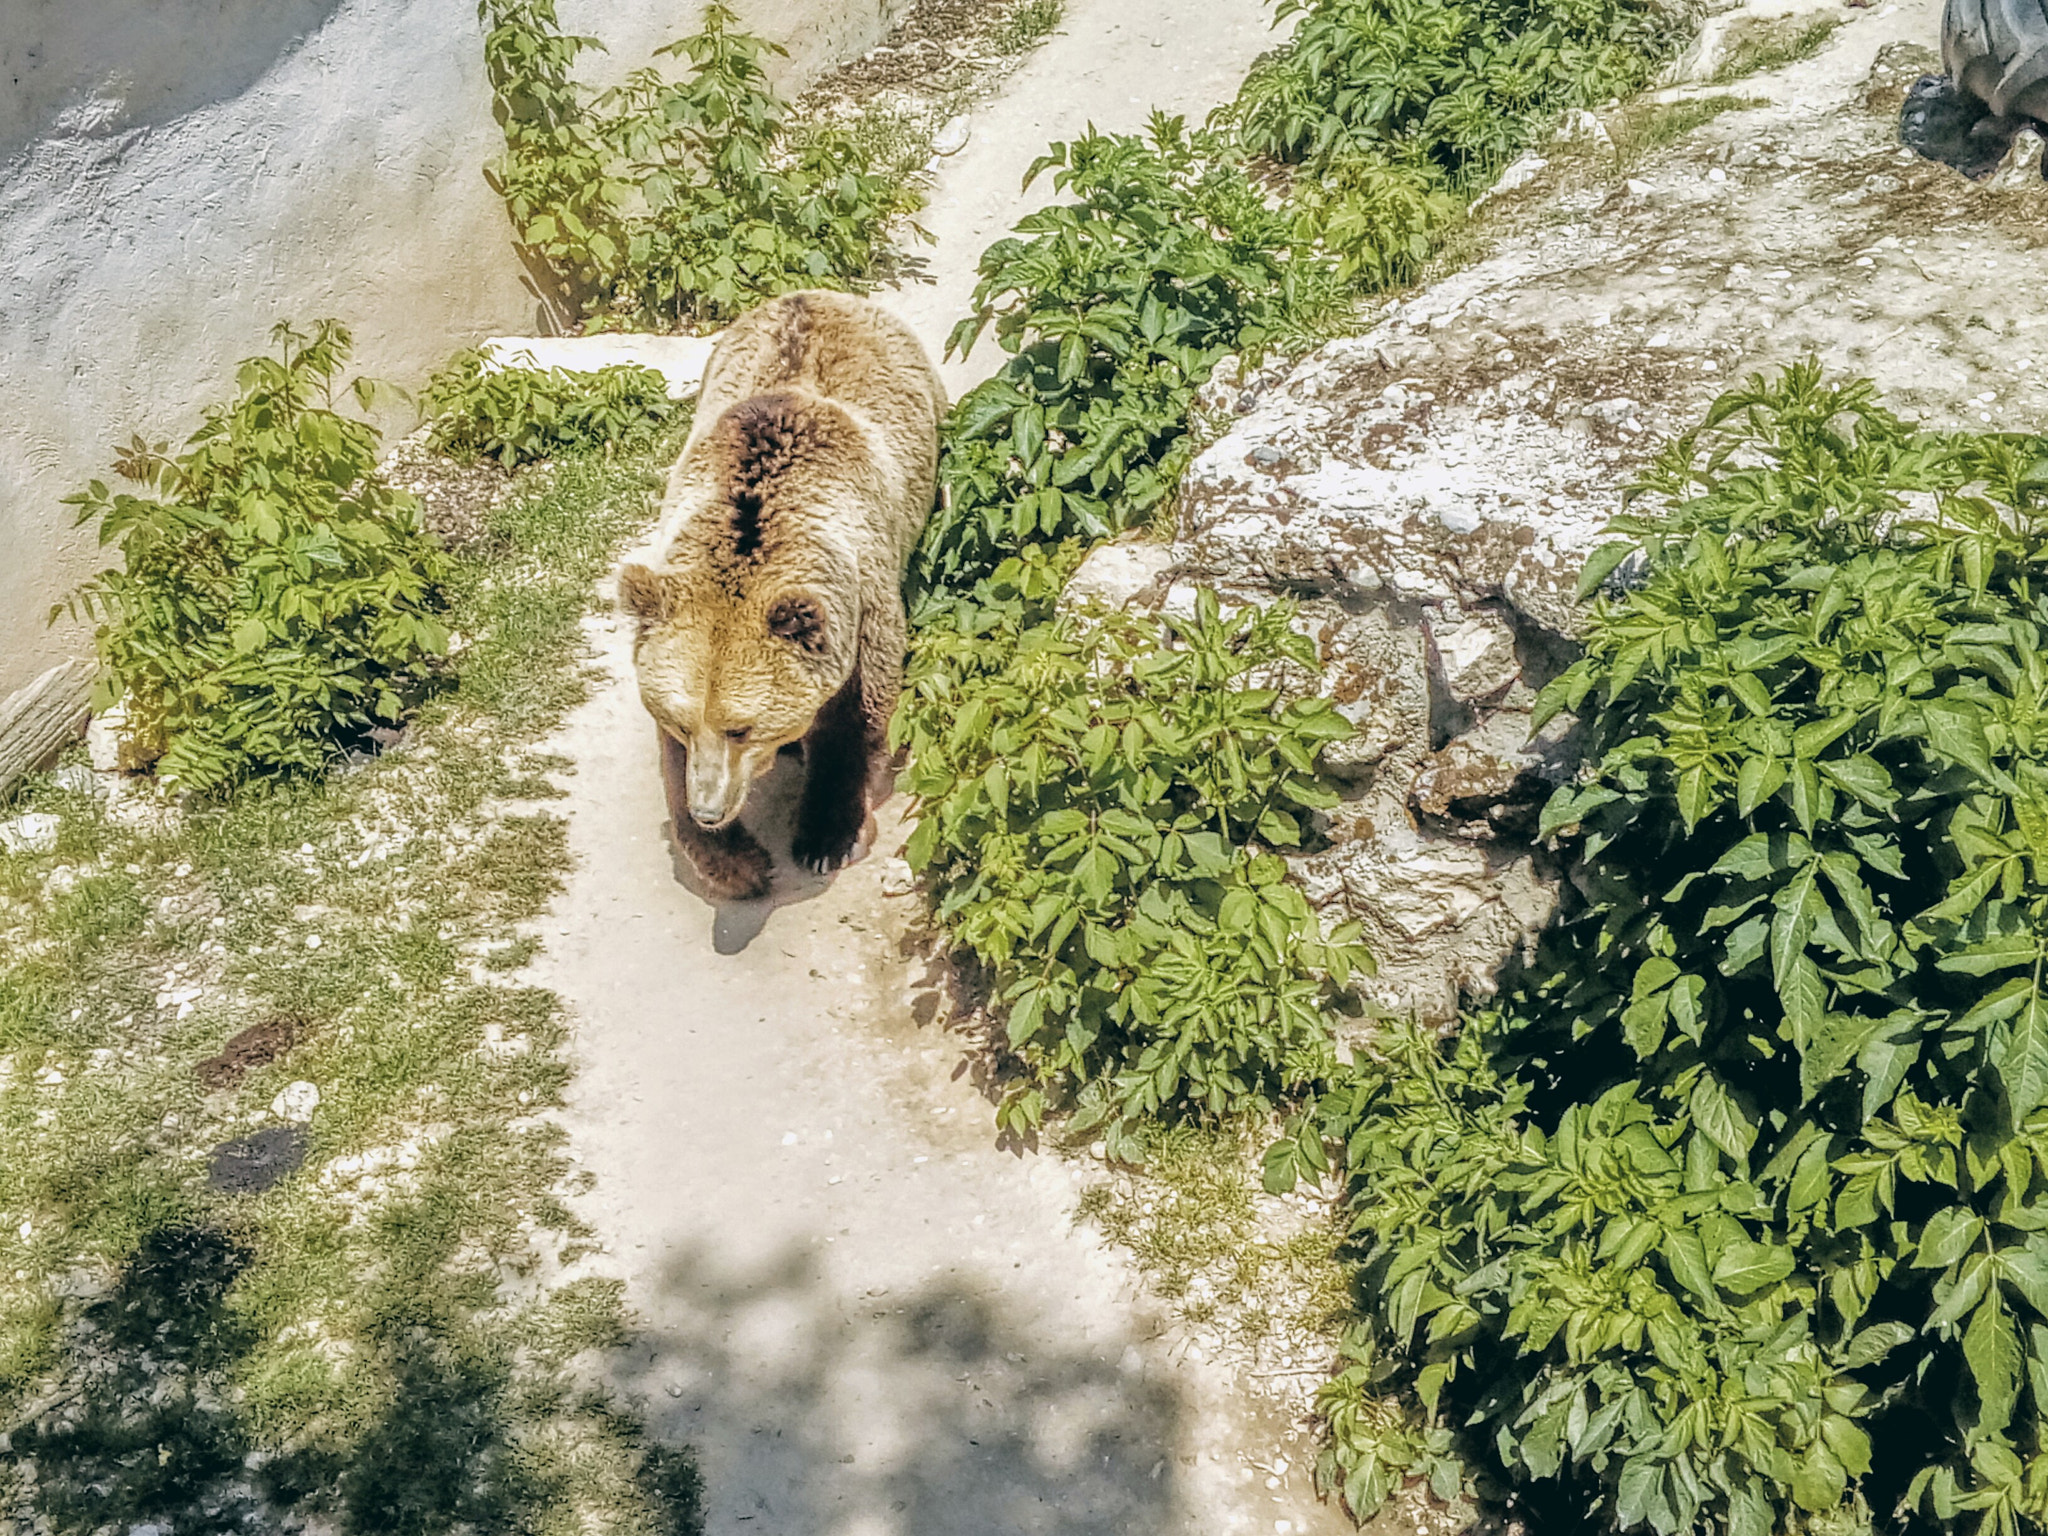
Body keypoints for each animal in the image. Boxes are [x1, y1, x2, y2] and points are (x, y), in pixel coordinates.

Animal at [614, 288, 942, 901]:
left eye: (740, 727)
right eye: (683, 721)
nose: (711, 809)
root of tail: (817, 293)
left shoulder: (860, 604)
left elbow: (857, 718)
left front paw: (828, 836)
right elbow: (671, 763)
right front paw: (736, 864)